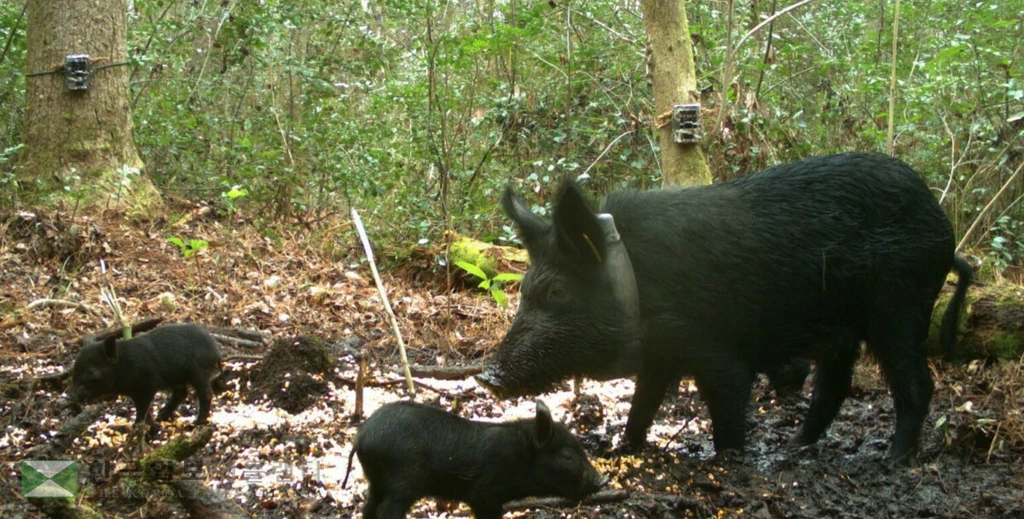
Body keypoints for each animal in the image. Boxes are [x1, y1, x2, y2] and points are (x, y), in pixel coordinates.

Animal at [68, 323, 222, 425]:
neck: (124, 365)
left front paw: (138, 428)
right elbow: (144, 411)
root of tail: (216, 350)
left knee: (206, 394)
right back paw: (162, 415)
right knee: (181, 393)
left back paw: (197, 423)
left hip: (199, 374)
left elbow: (142, 411)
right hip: (180, 377)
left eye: (91, 371)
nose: (74, 396)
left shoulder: (147, 388)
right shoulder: (136, 393)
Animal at [344, 400, 606, 519]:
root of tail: (361, 437)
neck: (519, 457)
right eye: (567, 456)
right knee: (385, 510)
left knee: (369, 507)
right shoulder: (484, 494)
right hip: (404, 481)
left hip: (376, 480)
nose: (601, 481)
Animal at [477, 153, 973, 463]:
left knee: (915, 384)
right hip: (846, 328)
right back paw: (795, 448)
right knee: (834, 386)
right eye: (525, 289)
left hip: (901, 306)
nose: (486, 374)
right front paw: (622, 449)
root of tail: (941, 224)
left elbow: (728, 411)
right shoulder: (661, 355)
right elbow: (642, 405)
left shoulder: (717, 351)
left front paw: (730, 460)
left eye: (558, 292)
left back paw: (893, 460)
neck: (637, 282)